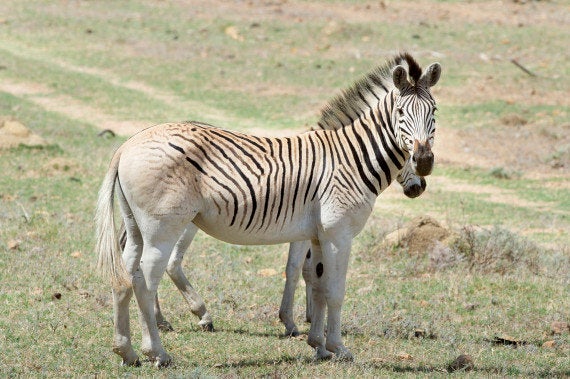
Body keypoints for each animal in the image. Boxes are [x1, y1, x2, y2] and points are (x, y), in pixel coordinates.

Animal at [95, 52, 440, 366]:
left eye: (434, 111)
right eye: (400, 112)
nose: (423, 164)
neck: (350, 159)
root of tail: (127, 145)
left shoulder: (316, 234)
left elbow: (316, 285)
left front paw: (318, 345)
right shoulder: (337, 233)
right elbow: (334, 290)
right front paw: (338, 348)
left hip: (137, 227)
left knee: (124, 276)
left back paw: (126, 351)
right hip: (164, 228)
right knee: (146, 280)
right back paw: (158, 352)